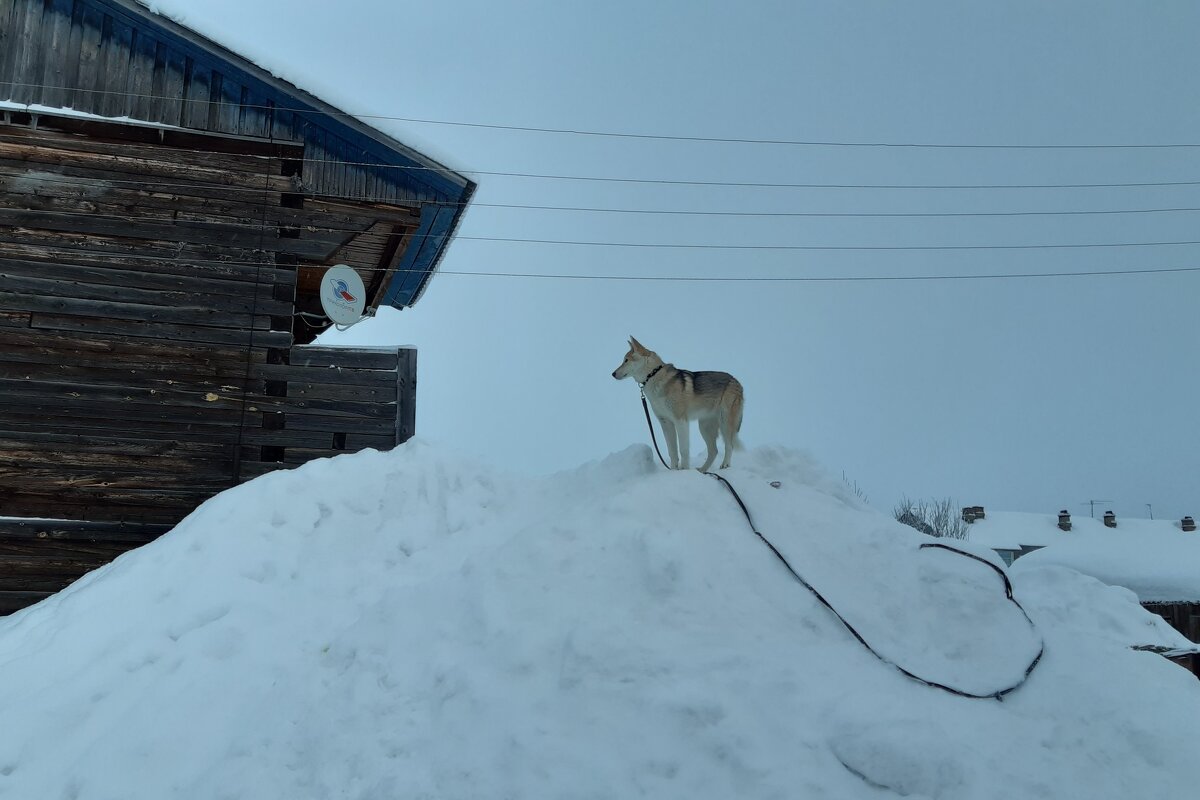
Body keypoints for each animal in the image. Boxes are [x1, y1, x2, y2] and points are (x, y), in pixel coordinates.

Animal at [614, 335, 744, 472]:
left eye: (626, 360)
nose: (612, 373)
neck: (653, 376)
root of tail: (737, 382)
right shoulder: (665, 422)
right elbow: (672, 452)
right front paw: (673, 470)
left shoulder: (680, 421)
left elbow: (683, 450)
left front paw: (684, 470)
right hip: (704, 427)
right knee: (714, 451)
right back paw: (701, 470)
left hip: (724, 422)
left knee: (729, 445)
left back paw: (725, 465)